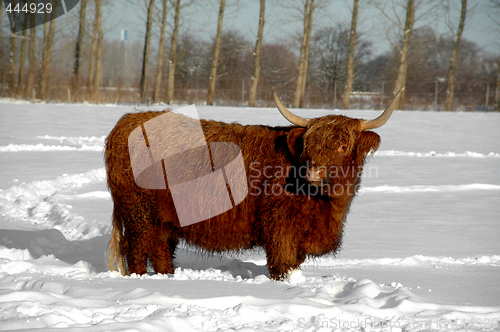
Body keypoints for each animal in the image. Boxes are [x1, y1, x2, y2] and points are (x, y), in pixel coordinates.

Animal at [104, 87, 402, 278]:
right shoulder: (280, 229)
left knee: (161, 251)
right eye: (309, 145)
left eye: (342, 146)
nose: (313, 173)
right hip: (139, 214)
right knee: (136, 250)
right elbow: (282, 267)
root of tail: (126, 121)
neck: (327, 207)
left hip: (164, 221)